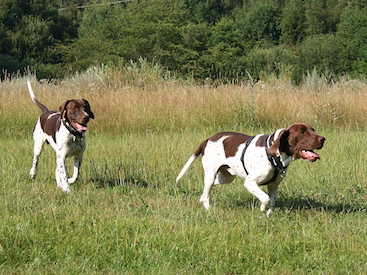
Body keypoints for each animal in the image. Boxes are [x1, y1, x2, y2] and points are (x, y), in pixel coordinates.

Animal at [177, 124, 326, 217]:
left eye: (312, 129)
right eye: (302, 132)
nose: (323, 139)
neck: (274, 154)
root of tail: (209, 139)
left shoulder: (273, 186)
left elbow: (272, 203)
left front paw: (267, 214)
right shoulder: (250, 182)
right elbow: (265, 198)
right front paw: (262, 208)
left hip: (225, 177)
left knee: (207, 190)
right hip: (211, 174)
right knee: (206, 195)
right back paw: (208, 209)